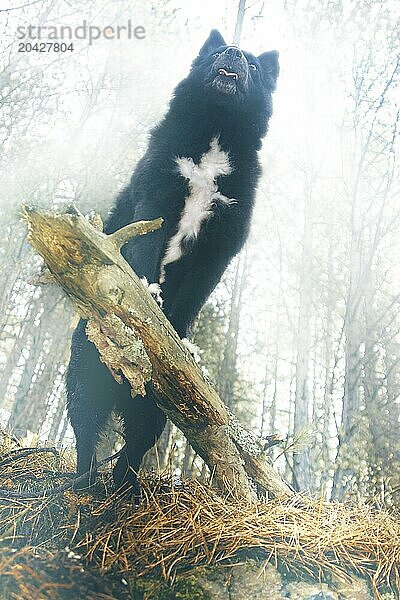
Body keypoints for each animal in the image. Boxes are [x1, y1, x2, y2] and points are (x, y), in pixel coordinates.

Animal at [66, 28, 278, 490]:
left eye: (253, 65)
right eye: (217, 53)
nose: (232, 53)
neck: (217, 127)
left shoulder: (221, 242)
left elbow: (196, 291)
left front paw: (175, 333)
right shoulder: (157, 194)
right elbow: (145, 248)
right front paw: (147, 299)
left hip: (164, 405)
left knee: (138, 439)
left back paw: (125, 487)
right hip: (85, 368)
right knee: (87, 427)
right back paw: (84, 482)